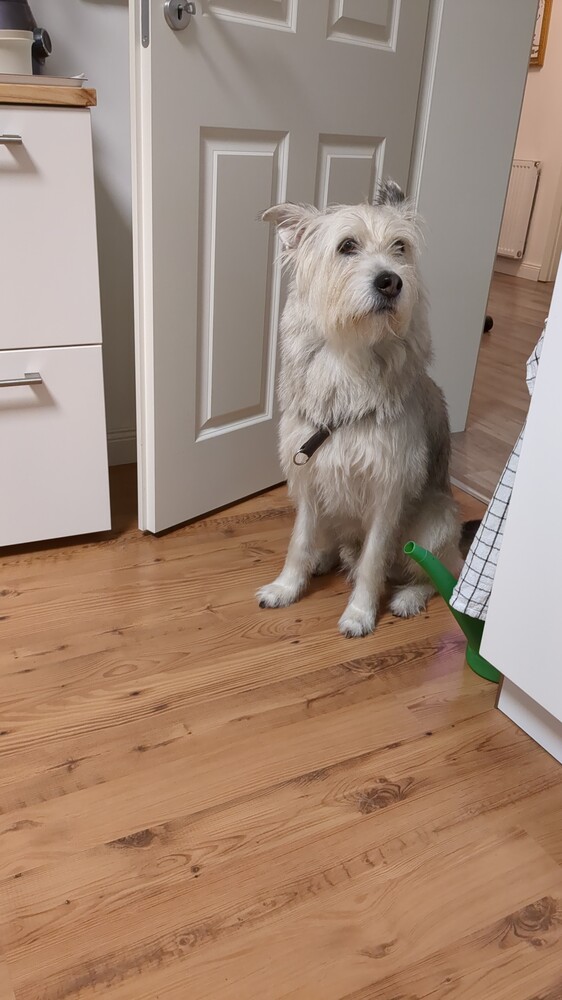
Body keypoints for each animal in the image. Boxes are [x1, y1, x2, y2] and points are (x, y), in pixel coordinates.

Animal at [257, 180, 461, 637]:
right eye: (347, 246)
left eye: (400, 247)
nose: (391, 282)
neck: (349, 357)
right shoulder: (308, 476)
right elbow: (298, 541)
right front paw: (287, 586)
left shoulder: (387, 490)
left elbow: (373, 561)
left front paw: (360, 613)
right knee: (335, 546)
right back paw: (323, 560)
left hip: (435, 523)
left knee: (438, 573)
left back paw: (407, 596)